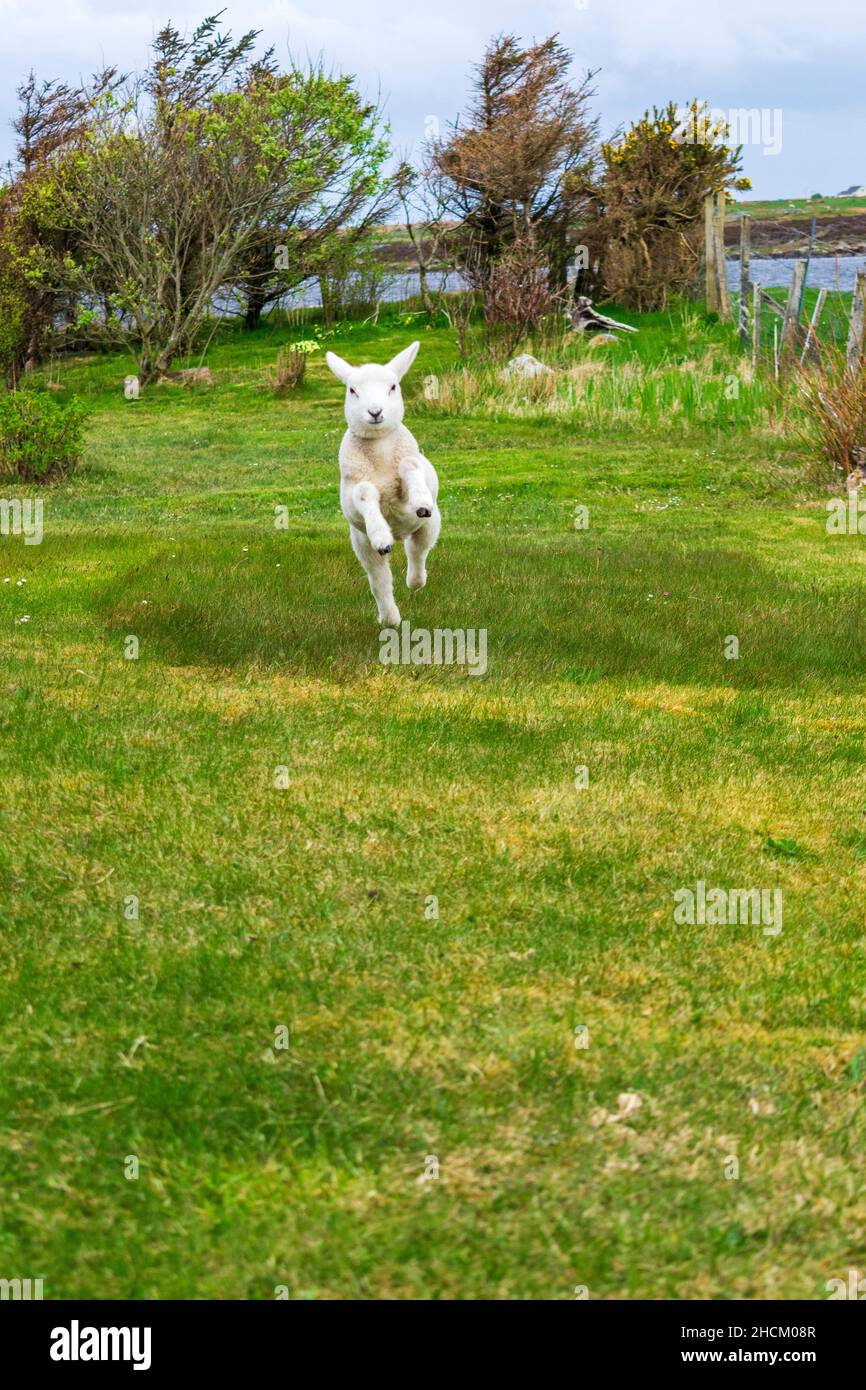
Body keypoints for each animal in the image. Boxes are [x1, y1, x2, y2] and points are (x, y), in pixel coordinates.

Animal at [325, 340, 440, 628]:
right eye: (352, 390)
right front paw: (380, 533)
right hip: (361, 543)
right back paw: (390, 618)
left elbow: (408, 465)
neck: (379, 450)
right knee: (380, 580)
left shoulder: (407, 476)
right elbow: (365, 492)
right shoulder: (355, 486)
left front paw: (421, 500)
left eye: (393, 386)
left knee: (417, 552)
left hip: (429, 525)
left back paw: (415, 582)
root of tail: (399, 534)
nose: (375, 411)